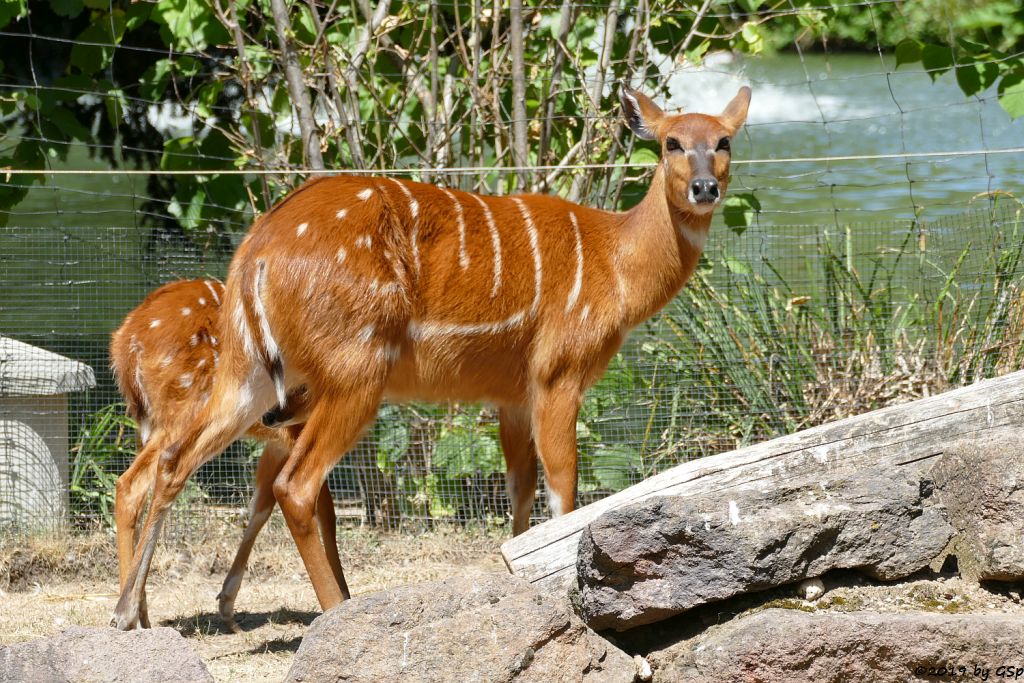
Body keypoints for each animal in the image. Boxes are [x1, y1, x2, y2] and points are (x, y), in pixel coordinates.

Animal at [112, 82, 753, 626]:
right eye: (671, 142)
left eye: (724, 141)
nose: (705, 189)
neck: (614, 264)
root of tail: (254, 254)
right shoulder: (557, 373)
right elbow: (563, 489)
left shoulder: (510, 394)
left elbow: (520, 491)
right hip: (353, 370)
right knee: (292, 486)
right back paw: (334, 611)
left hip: (252, 378)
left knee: (171, 467)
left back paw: (126, 615)